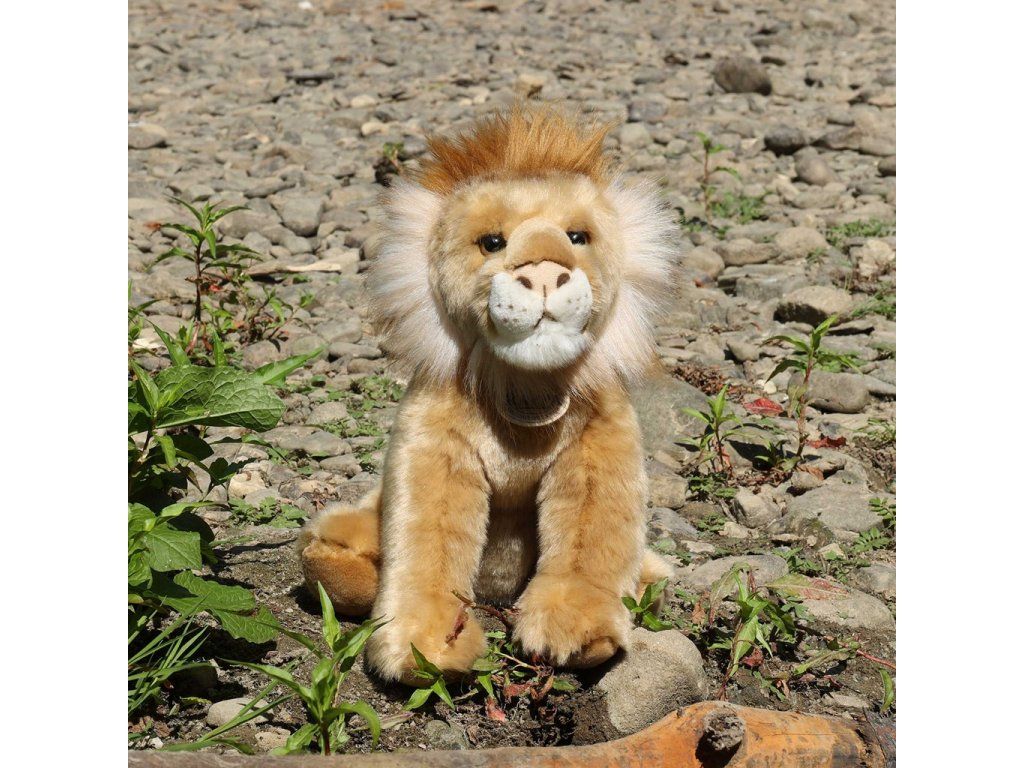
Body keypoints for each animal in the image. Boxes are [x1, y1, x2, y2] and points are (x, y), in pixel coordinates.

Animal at [297, 105, 679, 684]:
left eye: (578, 236)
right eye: (492, 242)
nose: (544, 272)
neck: (528, 385)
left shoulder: (602, 442)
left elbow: (593, 539)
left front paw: (574, 631)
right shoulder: (430, 441)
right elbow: (426, 541)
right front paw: (424, 647)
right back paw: (343, 555)